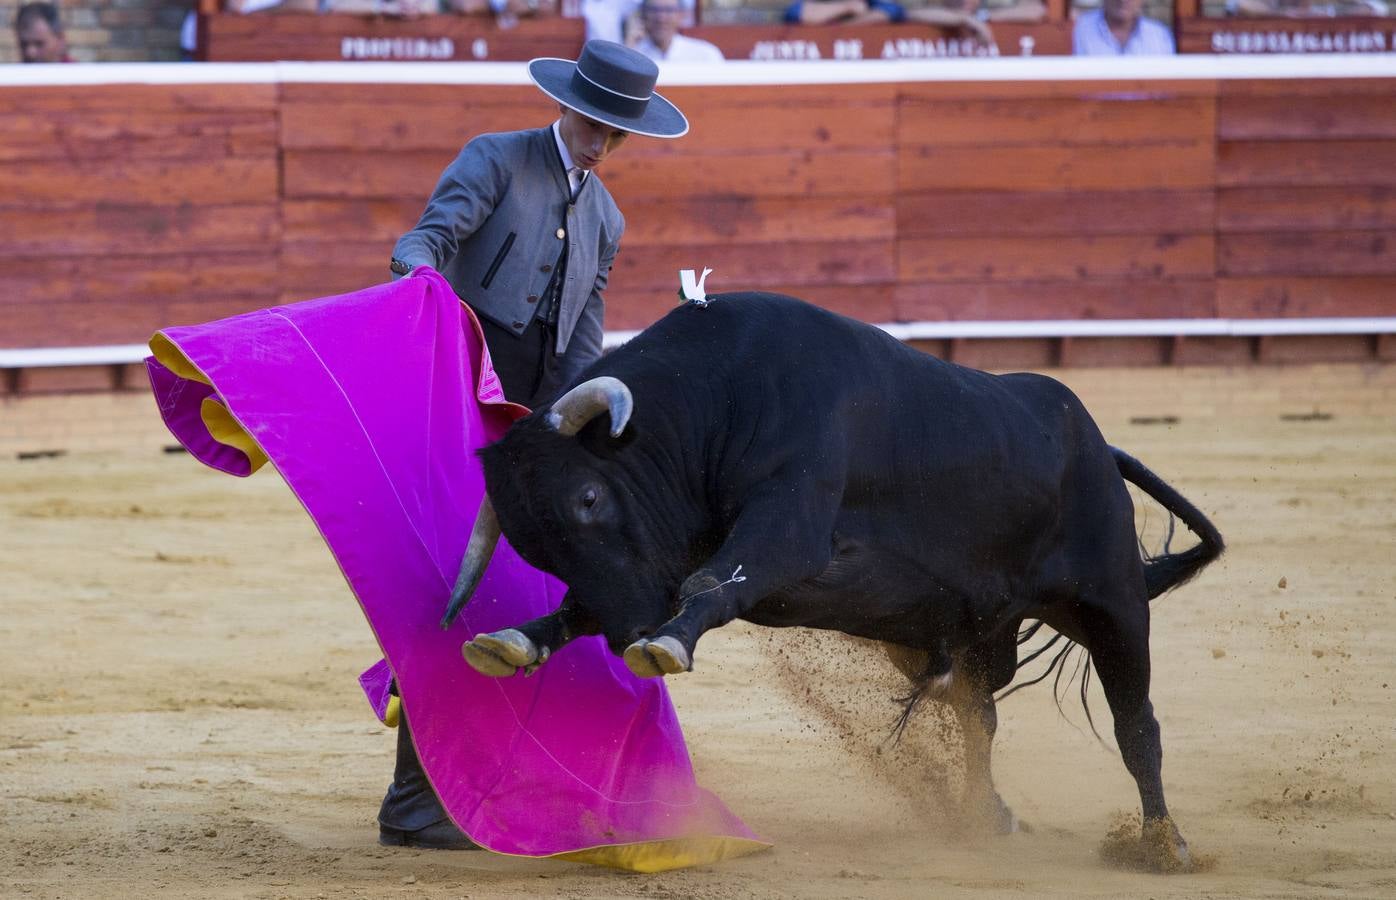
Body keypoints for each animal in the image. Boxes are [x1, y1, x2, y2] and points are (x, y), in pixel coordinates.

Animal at [441, 290, 1217, 865]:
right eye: (535, 548)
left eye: (588, 499)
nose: (629, 631)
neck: (719, 396)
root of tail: (1098, 446)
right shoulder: (664, 554)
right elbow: (583, 607)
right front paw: (513, 642)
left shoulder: (788, 526)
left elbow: (710, 586)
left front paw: (665, 646)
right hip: (970, 633)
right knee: (979, 716)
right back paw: (984, 815)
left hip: (1113, 605)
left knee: (1135, 723)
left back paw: (1164, 844)